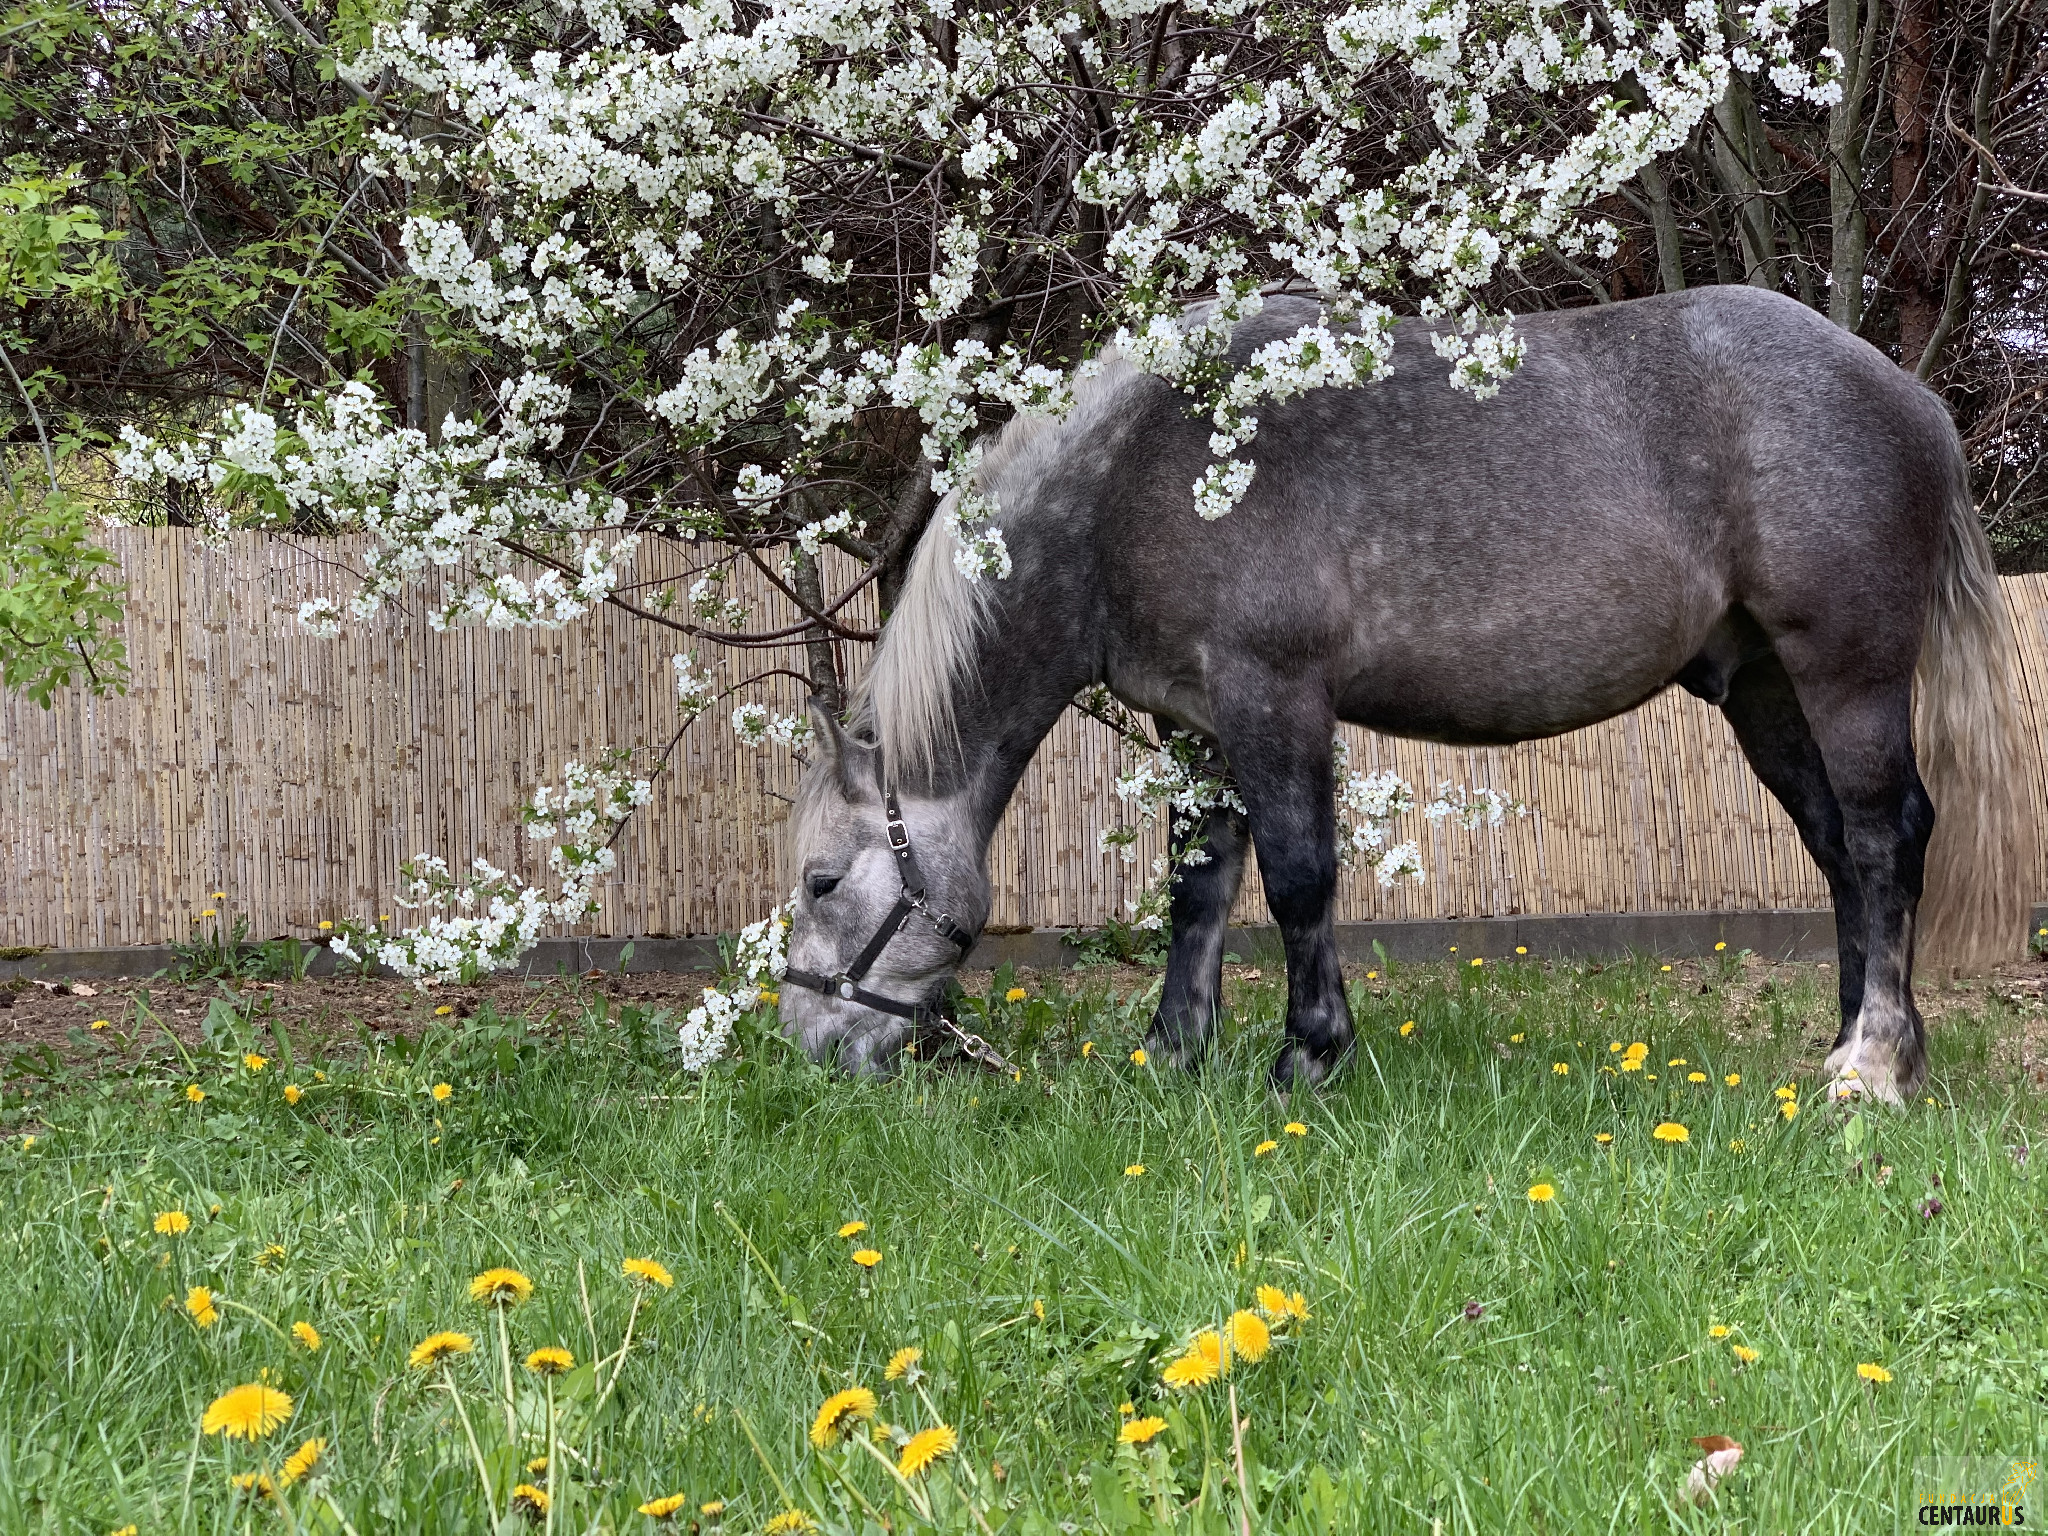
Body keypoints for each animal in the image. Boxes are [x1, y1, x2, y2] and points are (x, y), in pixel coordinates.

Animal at [774, 288, 2023, 1105]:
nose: (809, 1046)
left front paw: (1305, 1057)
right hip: (1761, 688)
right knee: (1834, 847)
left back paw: (1872, 1064)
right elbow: (1196, 888)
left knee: (1882, 839)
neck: (1136, 478)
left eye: (821, 880)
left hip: (1845, 672)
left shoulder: (1272, 696)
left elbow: (1296, 879)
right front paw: (1174, 1057)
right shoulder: (1193, 723)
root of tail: (1907, 397)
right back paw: (1856, 1042)